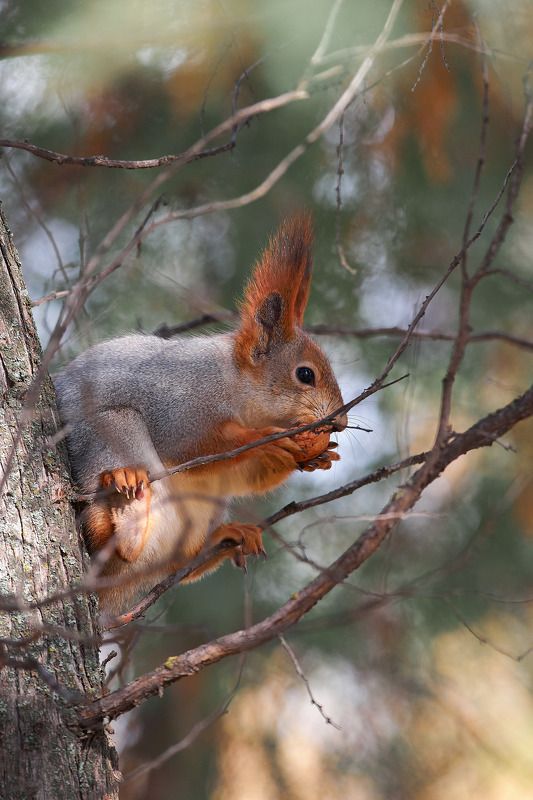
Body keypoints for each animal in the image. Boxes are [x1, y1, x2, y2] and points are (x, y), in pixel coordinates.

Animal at [55, 214, 347, 613]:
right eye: (306, 375)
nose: (342, 422)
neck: (235, 388)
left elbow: (245, 475)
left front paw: (319, 456)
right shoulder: (180, 406)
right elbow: (197, 447)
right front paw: (268, 442)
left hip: (200, 517)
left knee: (177, 565)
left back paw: (225, 538)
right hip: (112, 432)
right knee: (102, 533)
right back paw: (127, 508)